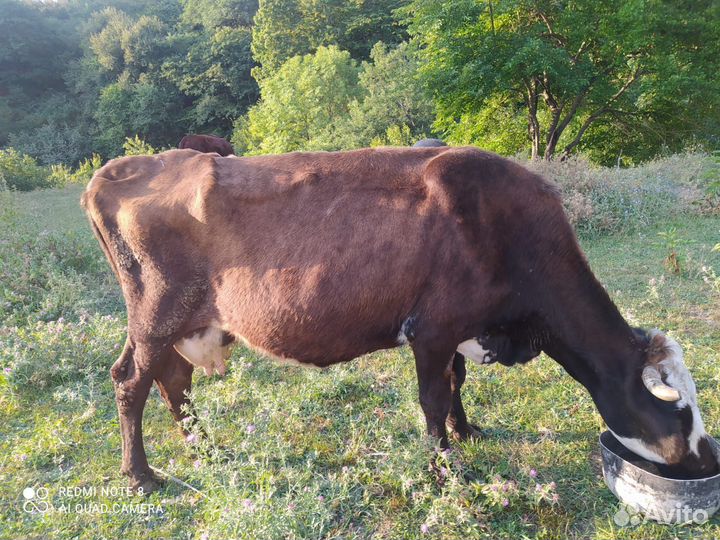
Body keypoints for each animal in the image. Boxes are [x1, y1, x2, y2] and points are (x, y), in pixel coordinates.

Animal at [81, 147, 718, 493]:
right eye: (678, 409)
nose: (708, 458)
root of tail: (122, 168)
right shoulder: (431, 327)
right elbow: (432, 397)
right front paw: (442, 468)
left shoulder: (460, 328)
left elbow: (457, 381)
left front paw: (467, 431)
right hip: (156, 314)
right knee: (132, 381)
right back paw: (141, 475)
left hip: (181, 323)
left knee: (174, 380)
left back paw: (206, 449)